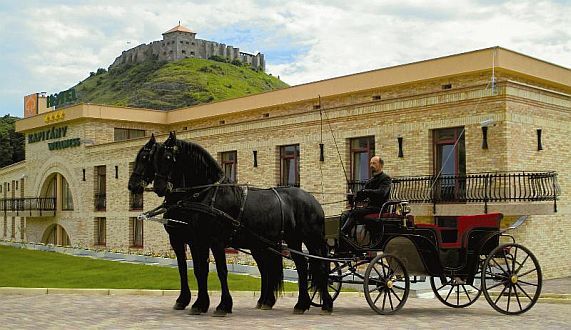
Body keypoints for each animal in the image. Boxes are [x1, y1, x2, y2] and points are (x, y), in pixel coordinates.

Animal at [128, 135, 233, 318]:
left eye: (145, 158)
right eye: (155, 159)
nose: (132, 185)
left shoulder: (200, 240)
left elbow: (204, 269)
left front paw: (204, 304)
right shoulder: (178, 239)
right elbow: (184, 268)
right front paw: (185, 300)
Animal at [152, 132, 332, 314]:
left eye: (167, 157)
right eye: (155, 158)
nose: (158, 187)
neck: (210, 195)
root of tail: (313, 200)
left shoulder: (215, 241)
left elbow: (220, 271)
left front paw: (223, 305)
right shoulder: (199, 240)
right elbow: (199, 270)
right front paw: (200, 304)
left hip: (311, 240)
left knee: (320, 267)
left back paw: (326, 304)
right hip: (292, 240)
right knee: (302, 267)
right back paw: (301, 304)